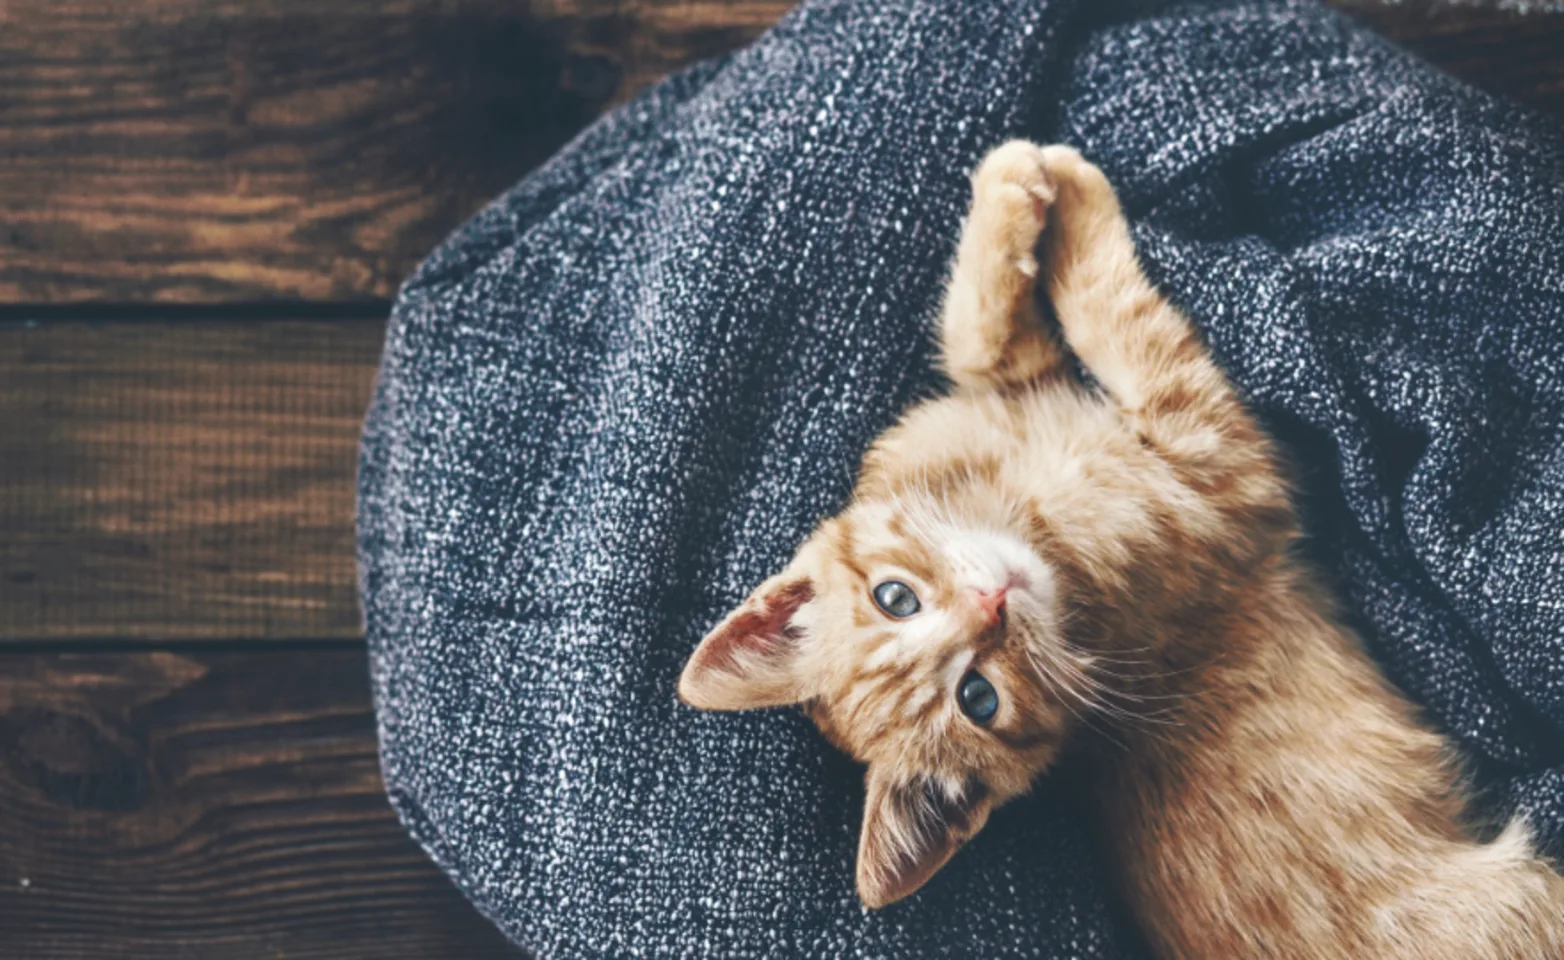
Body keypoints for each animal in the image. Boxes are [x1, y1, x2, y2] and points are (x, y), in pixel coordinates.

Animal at [681, 139, 1564, 956]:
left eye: (894, 597)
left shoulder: (1009, 388)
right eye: (980, 698)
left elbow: (978, 333)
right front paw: (1073, 195)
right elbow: (1118, 314)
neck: (1016, 503)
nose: (992, 605)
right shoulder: (1211, 450)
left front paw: (1013, 191)